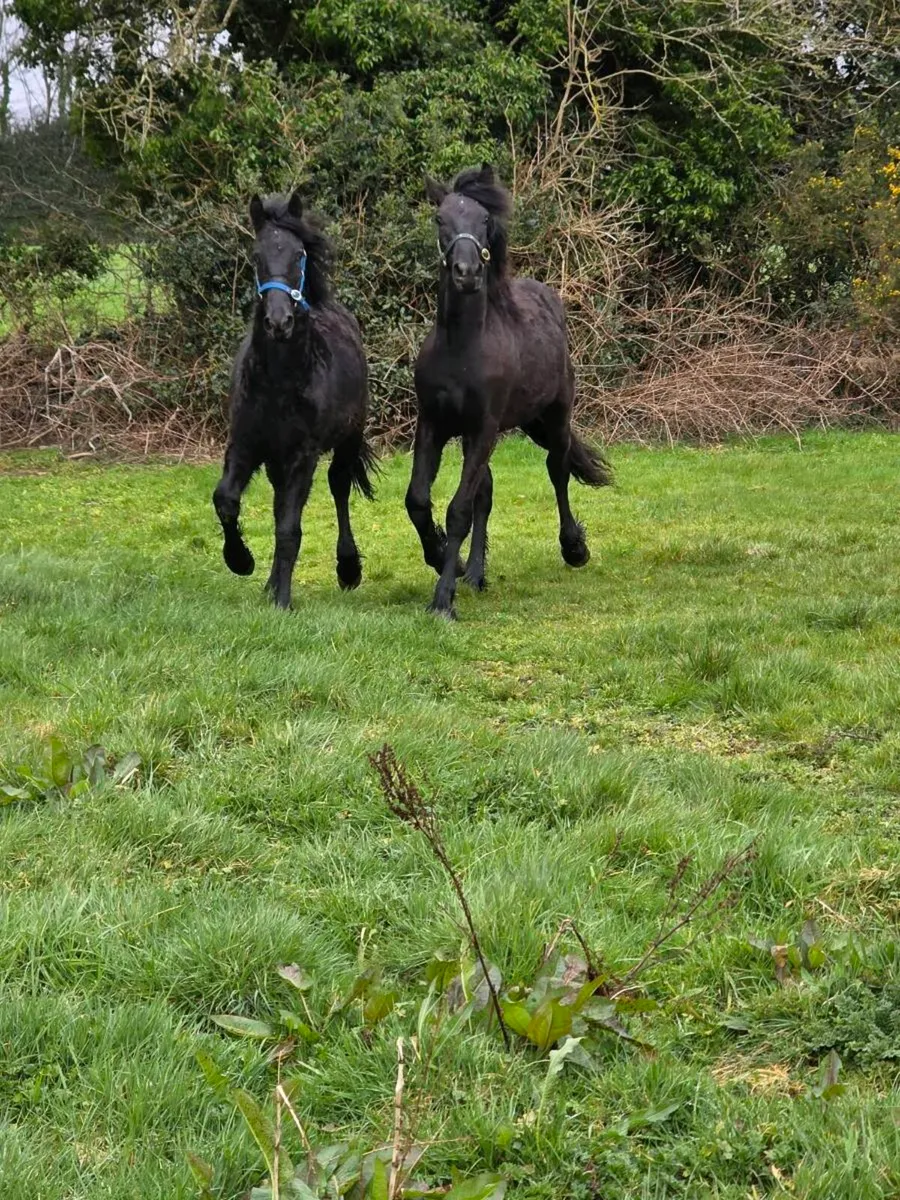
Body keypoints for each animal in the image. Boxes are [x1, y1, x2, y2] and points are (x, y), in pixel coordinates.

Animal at [212, 191, 376, 610]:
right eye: (256, 255)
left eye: (299, 254)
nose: (278, 322)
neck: (279, 381)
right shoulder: (245, 445)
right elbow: (226, 500)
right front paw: (240, 560)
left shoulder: (303, 455)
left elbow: (289, 528)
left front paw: (282, 602)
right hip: (275, 461)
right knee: (277, 502)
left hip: (347, 438)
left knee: (339, 486)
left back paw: (347, 569)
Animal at [404, 163, 612, 620]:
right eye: (440, 219)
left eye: (484, 220)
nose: (466, 273)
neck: (461, 347)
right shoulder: (434, 426)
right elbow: (419, 501)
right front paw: (444, 557)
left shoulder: (483, 428)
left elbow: (459, 510)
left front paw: (443, 600)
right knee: (487, 491)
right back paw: (475, 574)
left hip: (553, 419)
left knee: (557, 470)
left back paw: (573, 549)